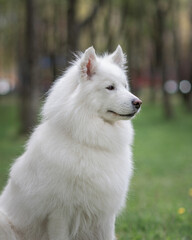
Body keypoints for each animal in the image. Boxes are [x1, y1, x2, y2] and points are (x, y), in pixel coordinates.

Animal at [0, 45, 141, 240]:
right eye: (110, 87)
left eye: (125, 86)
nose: (138, 102)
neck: (89, 142)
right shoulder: (60, 214)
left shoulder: (105, 214)